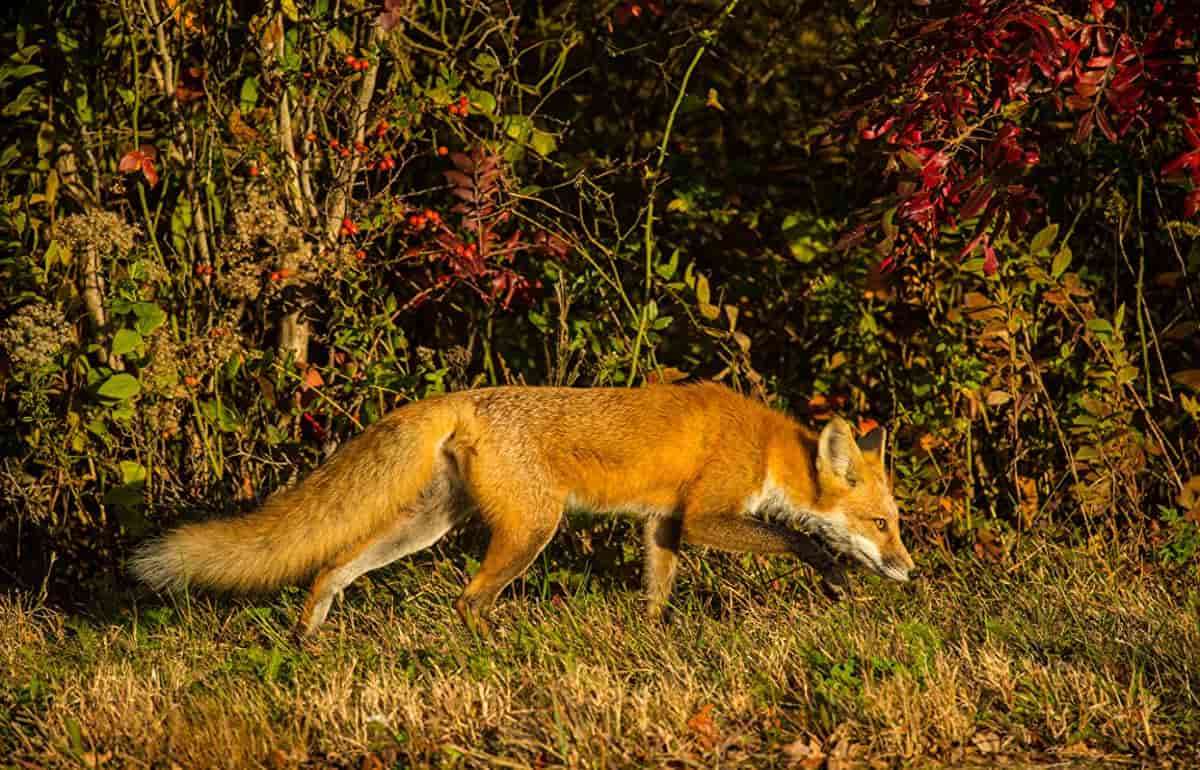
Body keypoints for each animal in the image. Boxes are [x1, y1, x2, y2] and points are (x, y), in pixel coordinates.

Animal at [131, 379, 912, 633]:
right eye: (881, 525)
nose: (911, 572)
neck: (768, 448)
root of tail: (462, 396)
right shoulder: (702, 516)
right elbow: (803, 541)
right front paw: (837, 577)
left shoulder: (662, 524)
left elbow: (656, 594)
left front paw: (652, 642)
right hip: (533, 529)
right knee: (468, 600)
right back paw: (490, 645)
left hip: (427, 525)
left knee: (334, 566)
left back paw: (309, 634)